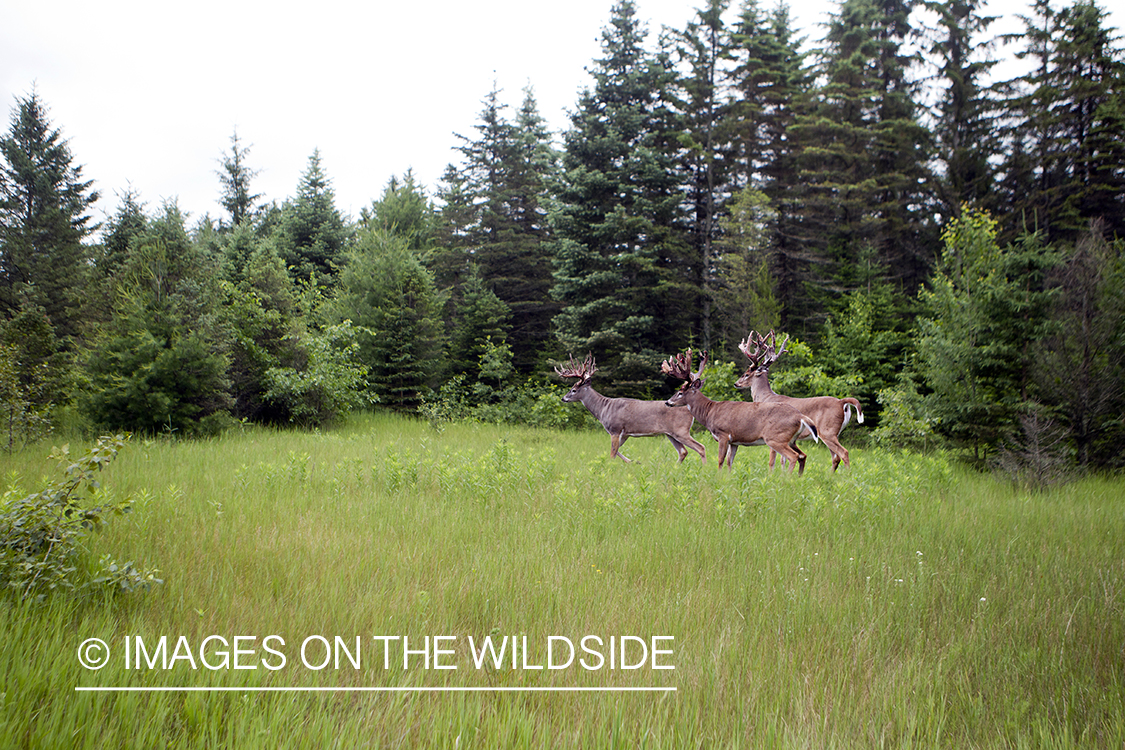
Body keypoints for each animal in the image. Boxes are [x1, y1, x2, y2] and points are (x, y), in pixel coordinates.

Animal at [553, 353, 702, 463]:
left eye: (573, 390)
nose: (563, 398)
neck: (603, 408)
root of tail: (689, 409)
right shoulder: (625, 433)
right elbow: (616, 450)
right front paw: (633, 461)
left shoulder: (615, 429)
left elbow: (612, 452)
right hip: (670, 433)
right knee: (683, 452)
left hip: (681, 430)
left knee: (699, 447)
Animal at [657, 348, 819, 474]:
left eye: (680, 392)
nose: (667, 402)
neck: (710, 411)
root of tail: (800, 416)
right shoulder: (734, 441)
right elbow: (730, 461)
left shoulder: (723, 434)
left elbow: (720, 460)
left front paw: (718, 477)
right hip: (791, 439)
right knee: (803, 455)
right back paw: (797, 479)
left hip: (775, 437)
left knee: (793, 456)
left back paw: (786, 479)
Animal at [733, 328, 864, 470]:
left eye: (746, 374)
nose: (736, 383)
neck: (765, 397)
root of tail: (841, 402)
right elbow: (783, 460)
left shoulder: (773, 433)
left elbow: (772, 461)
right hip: (834, 433)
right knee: (836, 457)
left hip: (828, 431)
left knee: (843, 452)